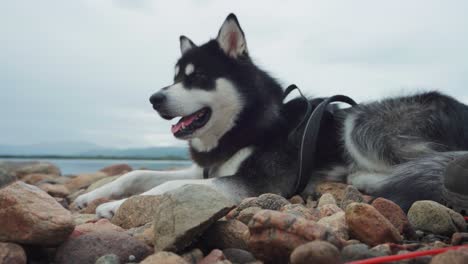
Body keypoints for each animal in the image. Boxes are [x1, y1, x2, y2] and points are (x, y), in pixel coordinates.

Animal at [75, 13, 468, 218]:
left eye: (197, 77)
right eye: (174, 78)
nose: (154, 99)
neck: (245, 123)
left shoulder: (256, 183)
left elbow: (173, 187)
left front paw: (118, 205)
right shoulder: (209, 168)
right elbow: (139, 173)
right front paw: (97, 195)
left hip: (362, 123)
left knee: (440, 164)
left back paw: (366, 178)